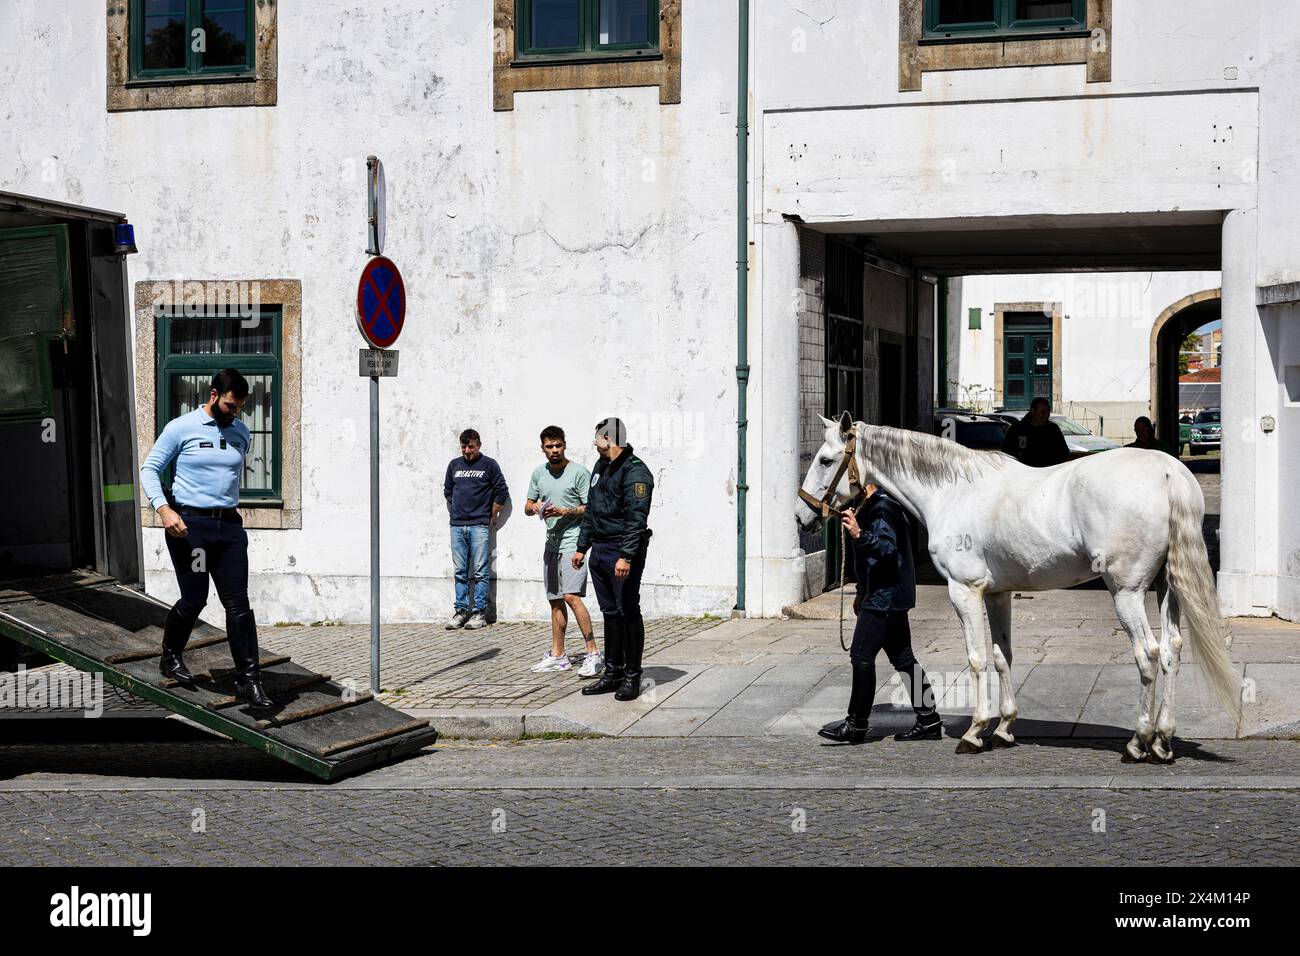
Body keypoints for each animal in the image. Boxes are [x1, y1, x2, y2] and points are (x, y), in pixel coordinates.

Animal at [796, 412, 1240, 762]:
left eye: (825, 459)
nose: (803, 515)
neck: (954, 491)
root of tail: (1168, 471)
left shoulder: (964, 590)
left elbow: (976, 659)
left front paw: (975, 733)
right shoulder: (997, 593)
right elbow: (1002, 656)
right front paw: (1004, 729)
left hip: (1127, 591)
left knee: (1147, 654)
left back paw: (1138, 742)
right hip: (1168, 588)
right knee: (1171, 651)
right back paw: (1163, 741)